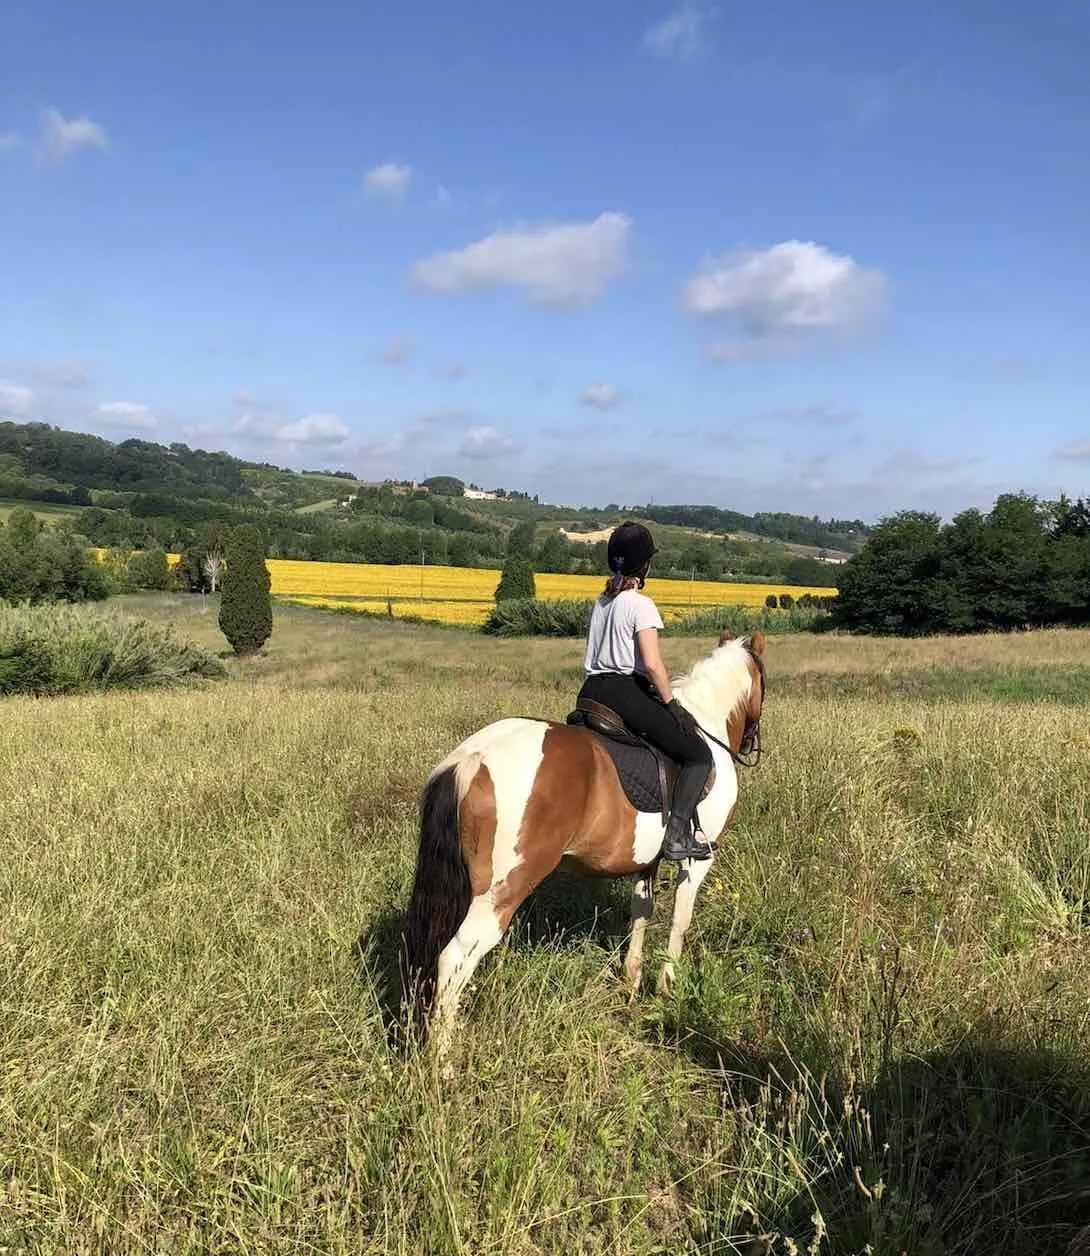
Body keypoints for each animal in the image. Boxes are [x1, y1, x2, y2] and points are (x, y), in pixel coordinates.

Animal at [400, 630, 766, 1048]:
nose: (751, 743)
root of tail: (472, 758)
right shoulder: (698, 860)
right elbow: (680, 919)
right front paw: (667, 989)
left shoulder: (647, 862)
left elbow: (641, 913)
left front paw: (631, 983)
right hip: (501, 892)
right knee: (455, 958)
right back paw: (441, 1056)